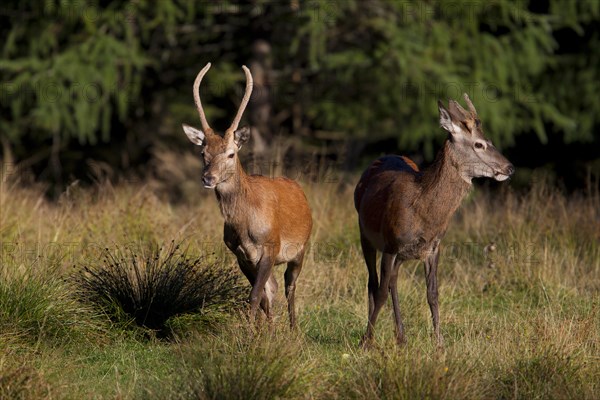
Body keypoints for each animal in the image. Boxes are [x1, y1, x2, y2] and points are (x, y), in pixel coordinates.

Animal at [182, 61, 314, 324]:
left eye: (231, 154)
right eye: (203, 153)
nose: (208, 178)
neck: (244, 226)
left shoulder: (271, 246)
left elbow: (255, 296)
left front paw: (249, 332)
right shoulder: (240, 254)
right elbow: (261, 295)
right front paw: (259, 330)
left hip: (301, 247)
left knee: (290, 286)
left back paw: (294, 328)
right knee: (273, 288)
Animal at [354, 94, 512, 346]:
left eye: (490, 139)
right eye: (479, 144)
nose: (510, 168)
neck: (424, 214)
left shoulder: (433, 247)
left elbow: (433, 294)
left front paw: (439, 343)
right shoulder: (390, 244)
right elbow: (379, 293)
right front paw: (365, 342)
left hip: (403, 253)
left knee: (393, 281)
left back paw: (401, 336)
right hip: (365, 234)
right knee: (373, 282)